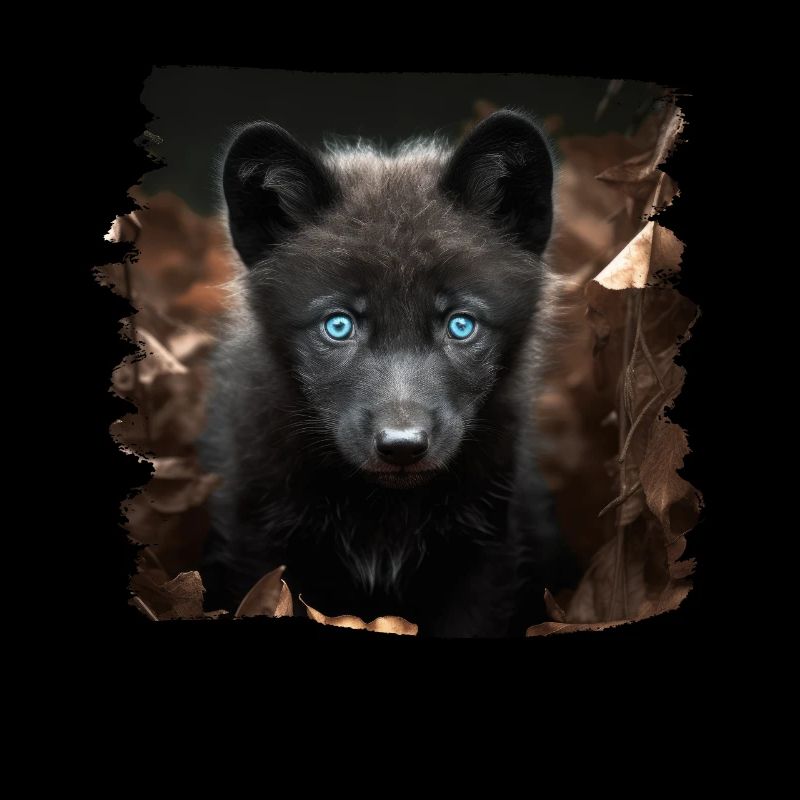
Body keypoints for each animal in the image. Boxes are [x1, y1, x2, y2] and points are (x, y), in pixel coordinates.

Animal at [198, 109, 577, 637]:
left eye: (461, 325)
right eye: (338, 325)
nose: (402, 447)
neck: (384, 515)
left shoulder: (486, 552)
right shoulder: (256, 540)